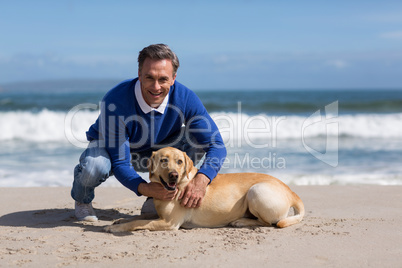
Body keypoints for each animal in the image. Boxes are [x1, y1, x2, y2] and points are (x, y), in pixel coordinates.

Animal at [104, 147, 304, 232]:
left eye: (179, 161)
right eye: (163, 160)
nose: (174, 175)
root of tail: (292, 192)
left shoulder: (169, 223)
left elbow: (137, 222)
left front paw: (116, 227)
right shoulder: (159, 215)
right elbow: (138, 217)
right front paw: (119, 220)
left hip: (257, 191)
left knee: (268, 222)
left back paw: (241, 222)